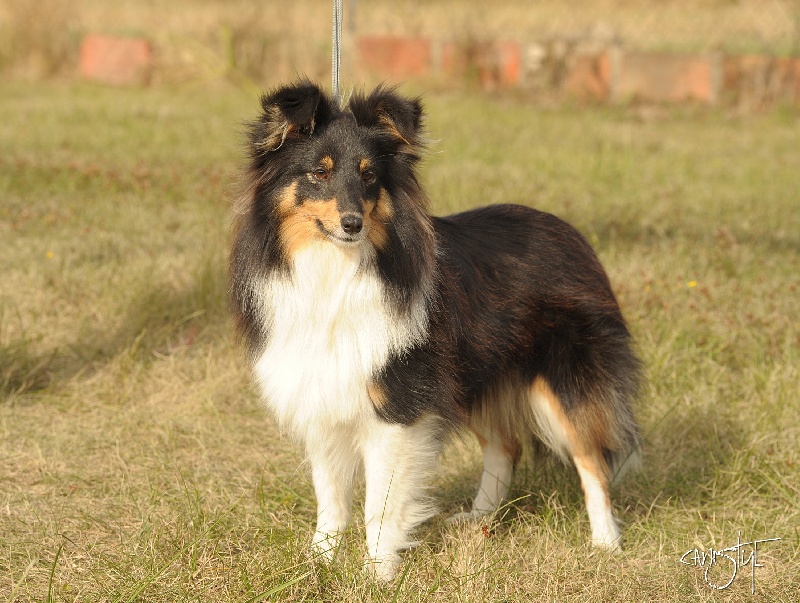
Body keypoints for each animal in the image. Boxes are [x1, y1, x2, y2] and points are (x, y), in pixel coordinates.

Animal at [228, 80, 640, 580]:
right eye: (318, 173)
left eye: (369, 176)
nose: (352, 224)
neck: (336, 269)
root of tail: (569, 232)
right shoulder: (323, 396)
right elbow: (331, 495)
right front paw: (320, 562)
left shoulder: (397, 408)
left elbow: (380, 505)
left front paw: (377, 573)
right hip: (475, 377)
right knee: (505, 445)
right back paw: (479, 519)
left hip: (563, 379)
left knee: (591, 458)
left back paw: (606, 543)